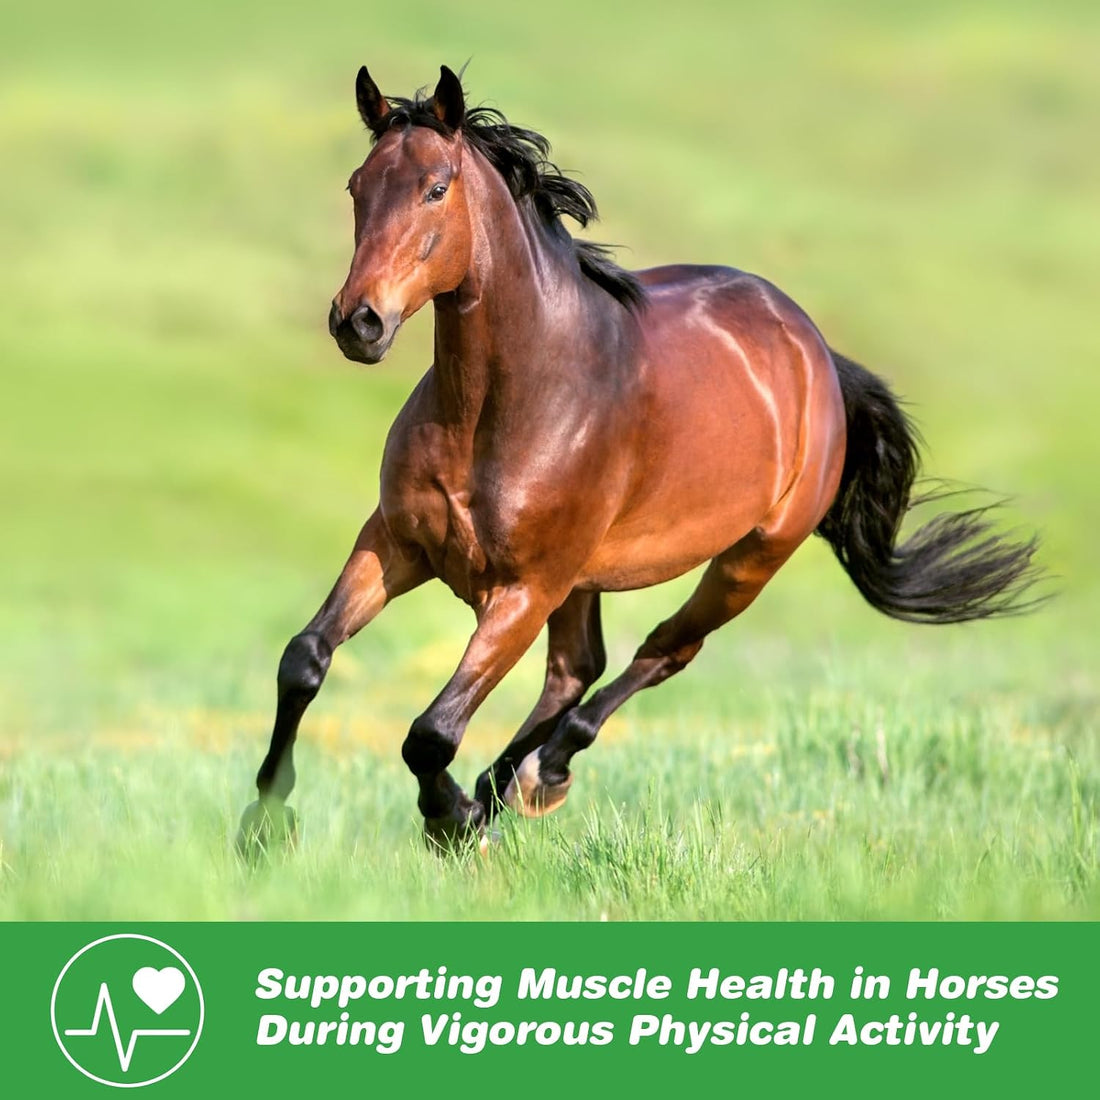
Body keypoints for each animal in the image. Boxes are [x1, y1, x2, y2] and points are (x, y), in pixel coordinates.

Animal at [236, 65, 1041, 856]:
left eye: (436, 187)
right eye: (357, 186)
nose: (359, 322)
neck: (503, 405)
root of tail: (812, 348)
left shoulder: (524, 589)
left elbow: (431, 733)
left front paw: (451, 820)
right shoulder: (398, 542)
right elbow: (304, 659)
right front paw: (264, 825)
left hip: (746, 561)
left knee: (658, 654)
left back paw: (536, 778)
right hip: (584, 579)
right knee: (575, 671)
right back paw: (510, 786)